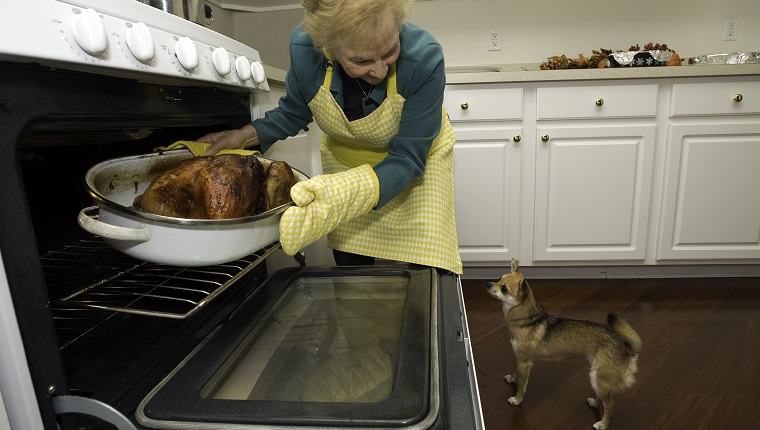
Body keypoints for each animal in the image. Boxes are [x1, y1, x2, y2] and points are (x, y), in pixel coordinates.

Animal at [486, 258, 640, 430]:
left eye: (504, 288)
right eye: (499, 278)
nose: (487, 284)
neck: (527, 319)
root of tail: (625, 346)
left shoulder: (524, 363)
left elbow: (521, 384)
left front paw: (517, 399)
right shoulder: (518, 357)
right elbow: (514, 370)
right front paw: (512, 379)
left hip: (598, 378)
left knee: (611, 404)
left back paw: (602, 424)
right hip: (601, 381)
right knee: (606, 398)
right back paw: (594, 403)